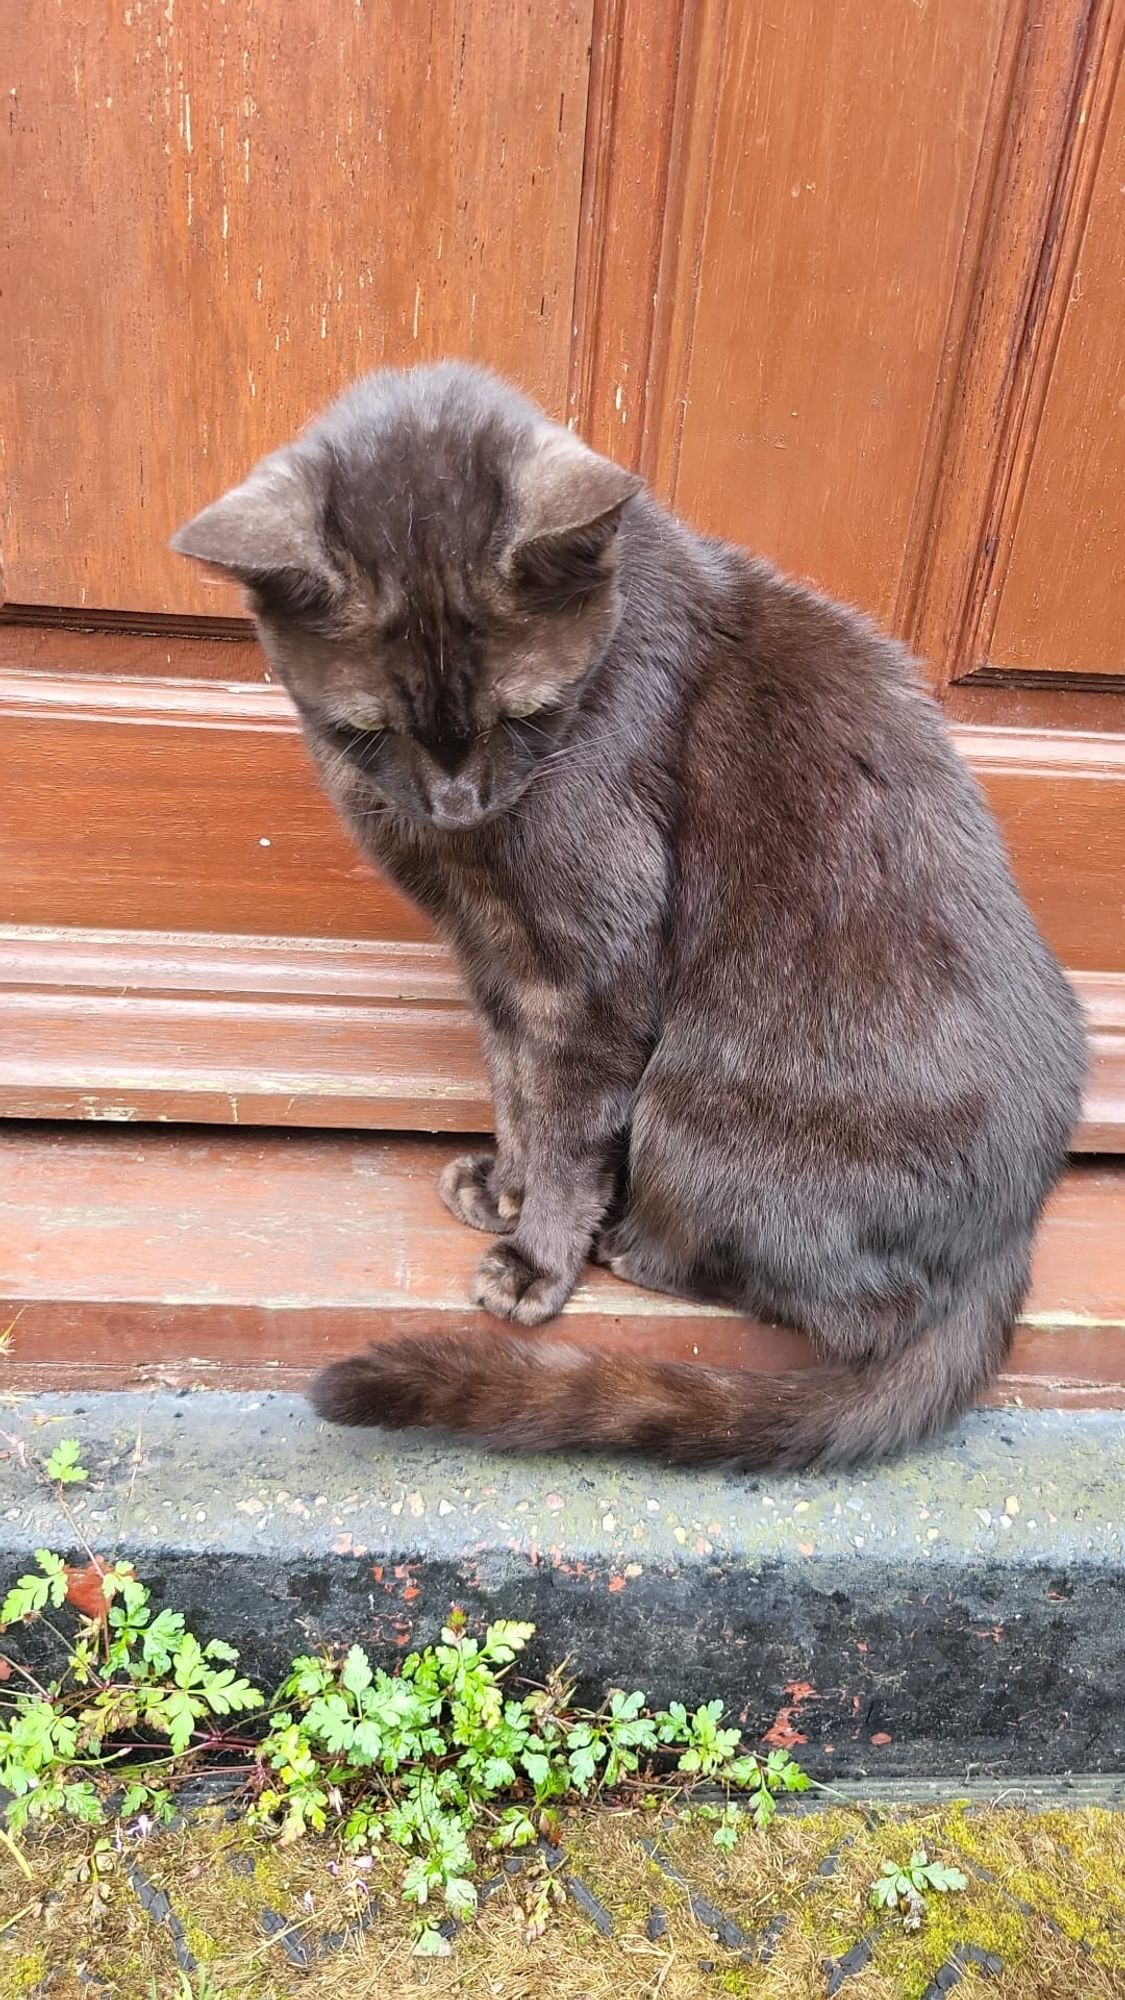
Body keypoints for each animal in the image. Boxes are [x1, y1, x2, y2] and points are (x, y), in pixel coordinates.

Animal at [175, 364, 1088, 1472]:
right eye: (367, 726)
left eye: (525, 712)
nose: (457, 802)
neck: (463, 859)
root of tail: (1012, 1237)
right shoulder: (496, 963)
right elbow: (515, 1087)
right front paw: (506, 1185)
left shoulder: (592, 971)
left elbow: (567, 1122)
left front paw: (535, 1258)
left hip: (693, 1104)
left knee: (862, 1307)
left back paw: (629, 1243)